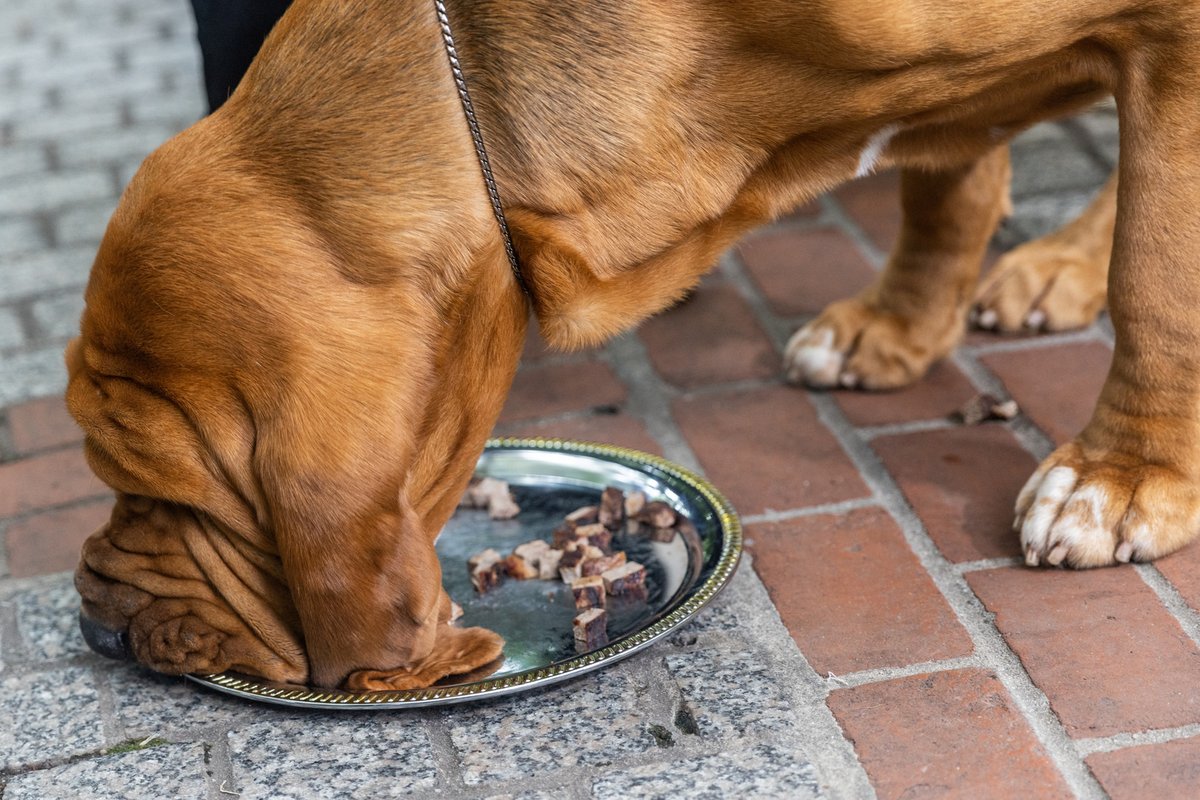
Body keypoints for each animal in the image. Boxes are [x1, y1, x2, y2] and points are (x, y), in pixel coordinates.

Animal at [68, 0, 1200, 690]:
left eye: (159, 488)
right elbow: (948, 179)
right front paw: (901, 323)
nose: (93, 625)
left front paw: (1126, 475)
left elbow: (1159, 275)